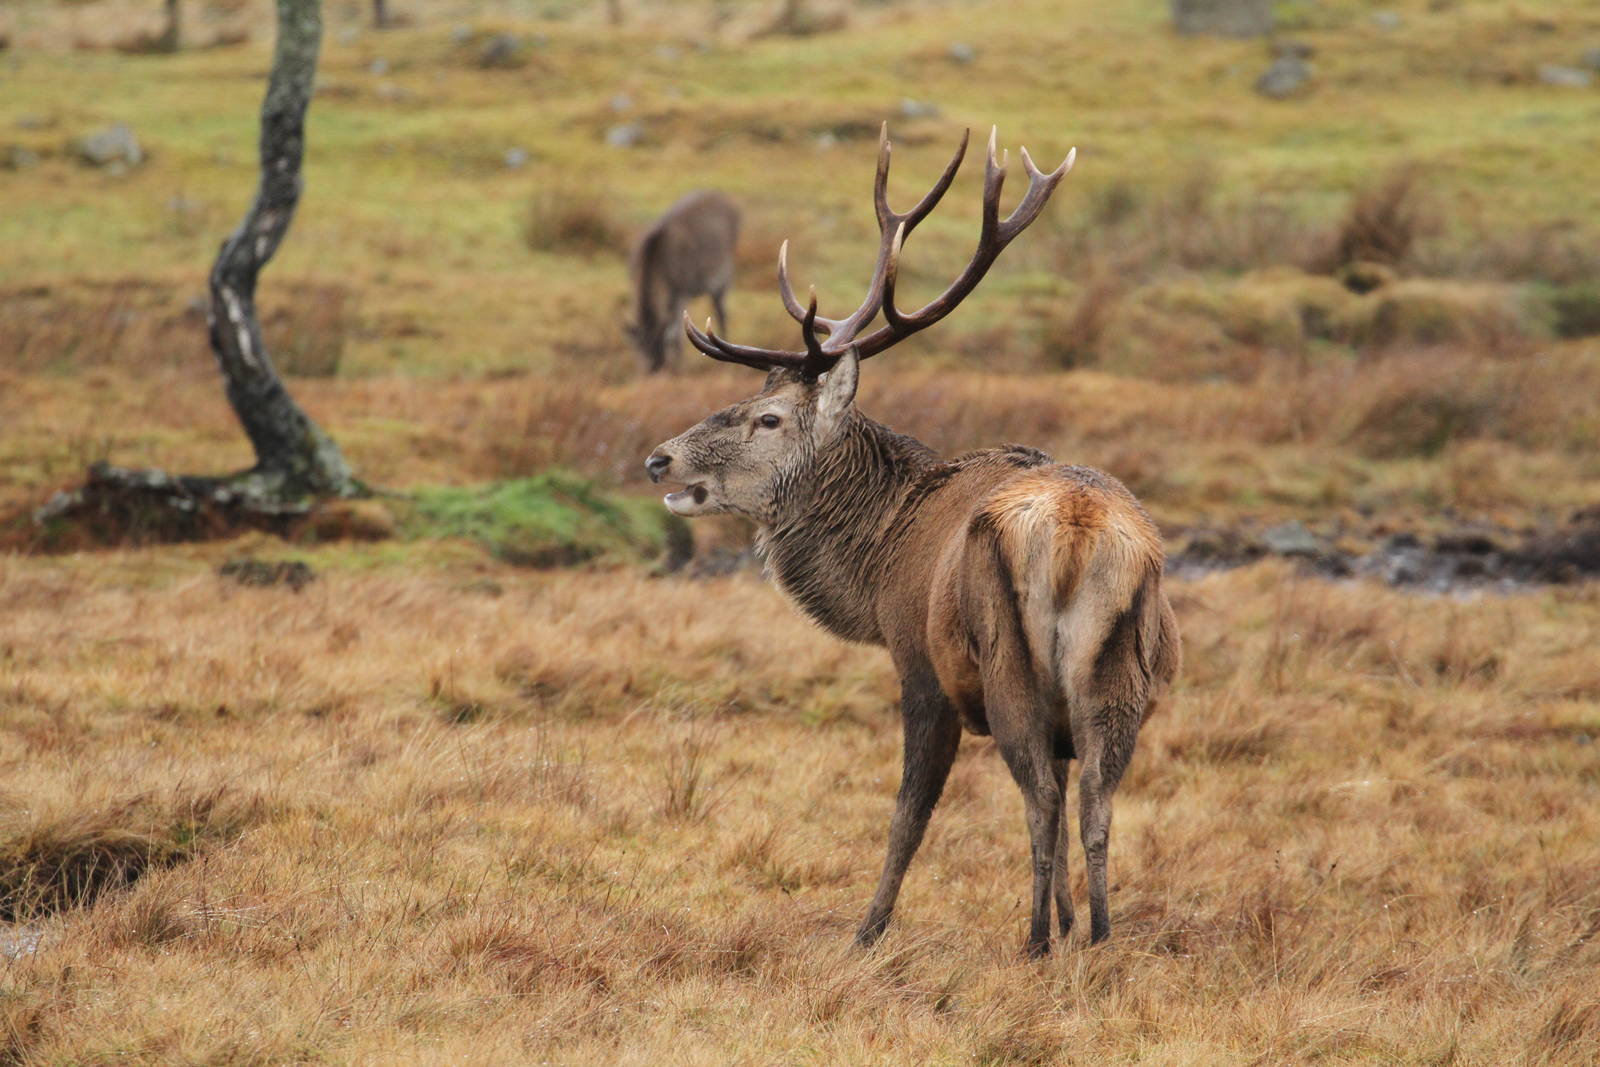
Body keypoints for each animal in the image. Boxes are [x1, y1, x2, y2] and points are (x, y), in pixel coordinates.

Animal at [626, 190, 741, 374]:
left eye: (657, 345)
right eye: (639, 348)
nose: (652, 369)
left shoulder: (682, 291)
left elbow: (676, 336)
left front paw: (679, 368)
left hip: (725, 273)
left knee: (721, 312)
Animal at [644, 127, 1181, 957]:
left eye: (769, 418)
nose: (659, 459)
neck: (878, 560)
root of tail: (1077, 532)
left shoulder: (916, 662)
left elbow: (908, 814)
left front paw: (866, 930)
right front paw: (1069, 920)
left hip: (1005, 662)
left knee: (1040, 798)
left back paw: (1032, 942)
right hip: (1121, 674)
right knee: (1094, 800)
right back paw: (1095, 937)